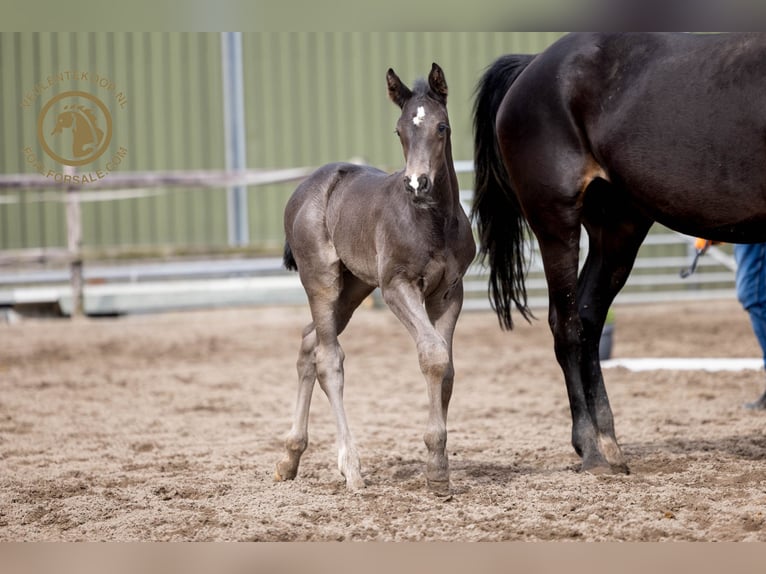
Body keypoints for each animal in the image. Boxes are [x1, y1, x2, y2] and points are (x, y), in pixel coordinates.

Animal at [272, 62, 476, 496]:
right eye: (399, 131)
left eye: (442, 127)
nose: (417, 183)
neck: (432, 221)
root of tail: (305, 188)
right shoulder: (397, 286)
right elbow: (432, 356)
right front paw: (437, 470)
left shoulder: (450, 293)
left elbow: (447, 368)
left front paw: (438, 465)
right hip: (322, 281)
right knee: (328, 357)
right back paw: (350, 467)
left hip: (354, 288)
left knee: (308, 342)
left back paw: (289, 458)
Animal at [474, 31, 766, 474]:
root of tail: (533, 65)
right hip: (556, 221)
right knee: (566, 325)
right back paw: (592, 451)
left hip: (617, 228)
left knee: (590, 320)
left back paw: (608, 443)